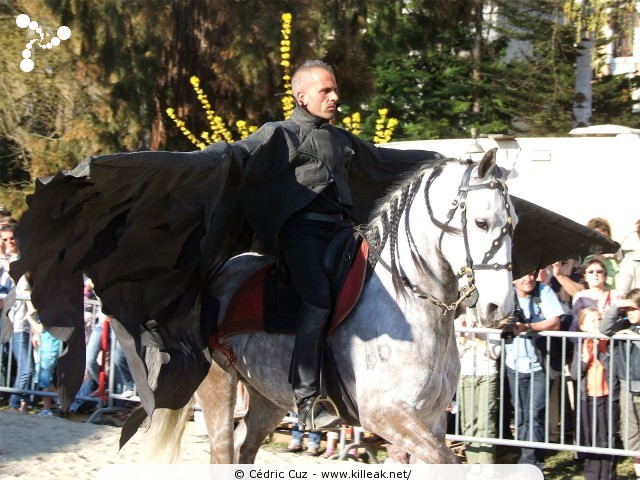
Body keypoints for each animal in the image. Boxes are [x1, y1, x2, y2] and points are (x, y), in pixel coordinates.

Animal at [140, 151, 516, 464]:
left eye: (513, 223)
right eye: (482, 222)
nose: (499, 307)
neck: (411, 303)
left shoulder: (432, 420)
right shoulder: (386, 415)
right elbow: (447, 460)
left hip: (267, 397)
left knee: (244, 445)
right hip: (220, 384)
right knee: (222, 451)